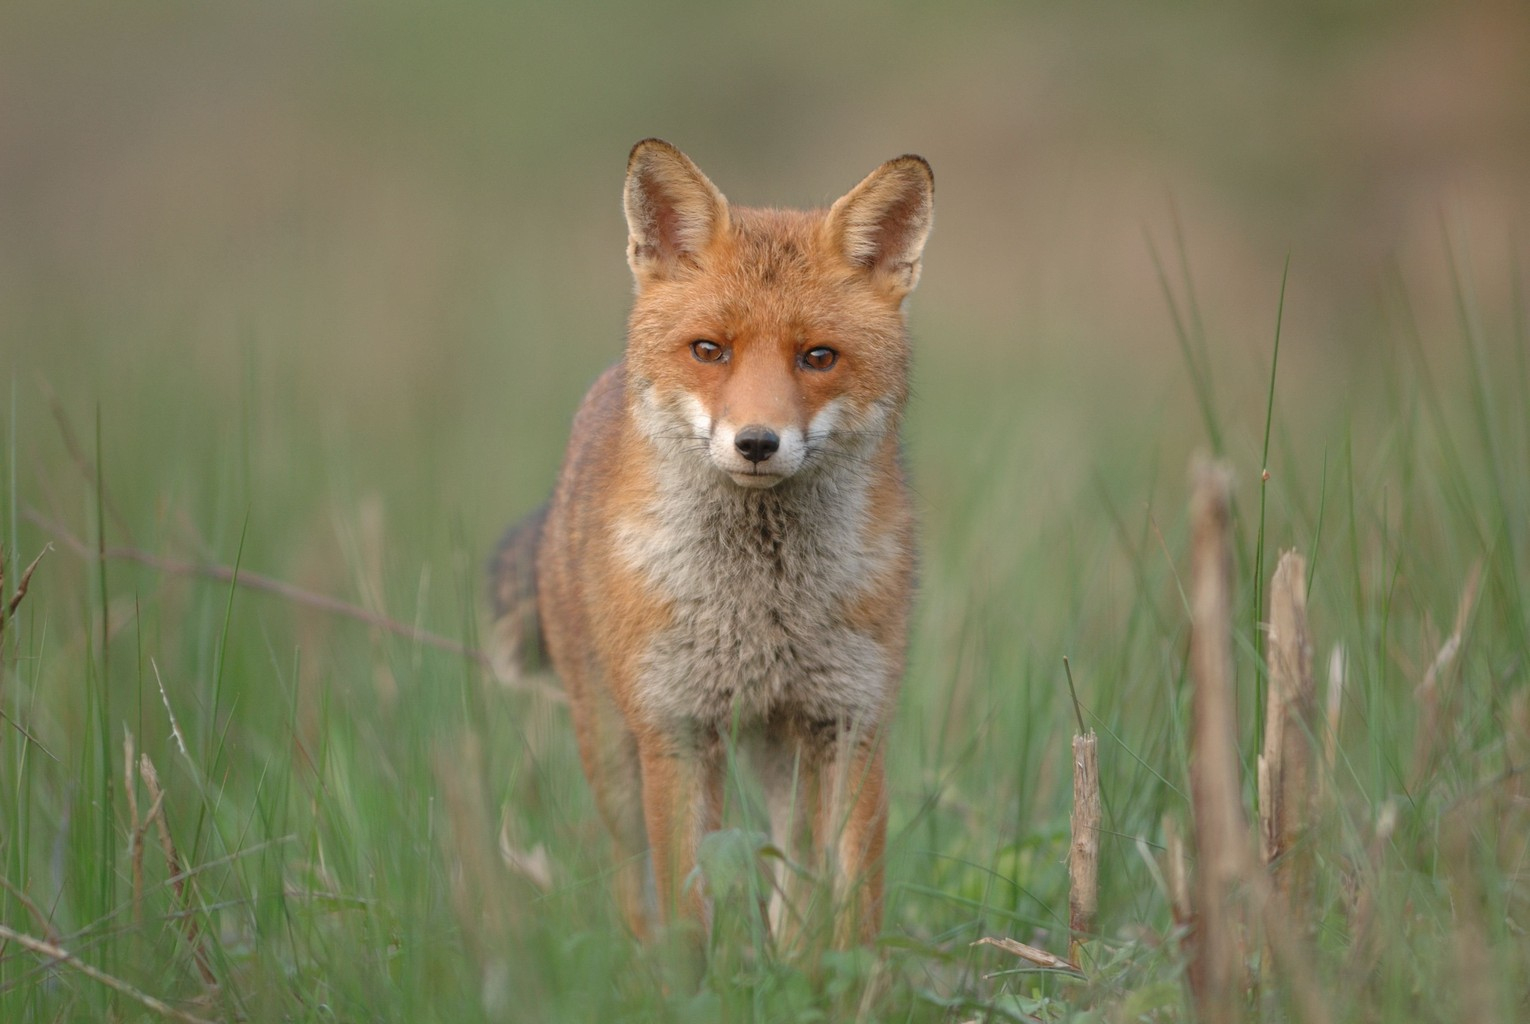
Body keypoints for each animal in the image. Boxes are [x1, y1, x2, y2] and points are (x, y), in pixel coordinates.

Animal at [492, 140, 930, 948]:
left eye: (818, 357)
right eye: (709, 350)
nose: (757, 442)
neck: (762, 605)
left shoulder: (852, 720)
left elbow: (854, 910)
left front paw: (854, 980)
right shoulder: (677, 728)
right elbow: (687, 912)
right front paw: (689, 975)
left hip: (780, 751)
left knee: (795, 876)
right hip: (614, 751)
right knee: (634, 887)